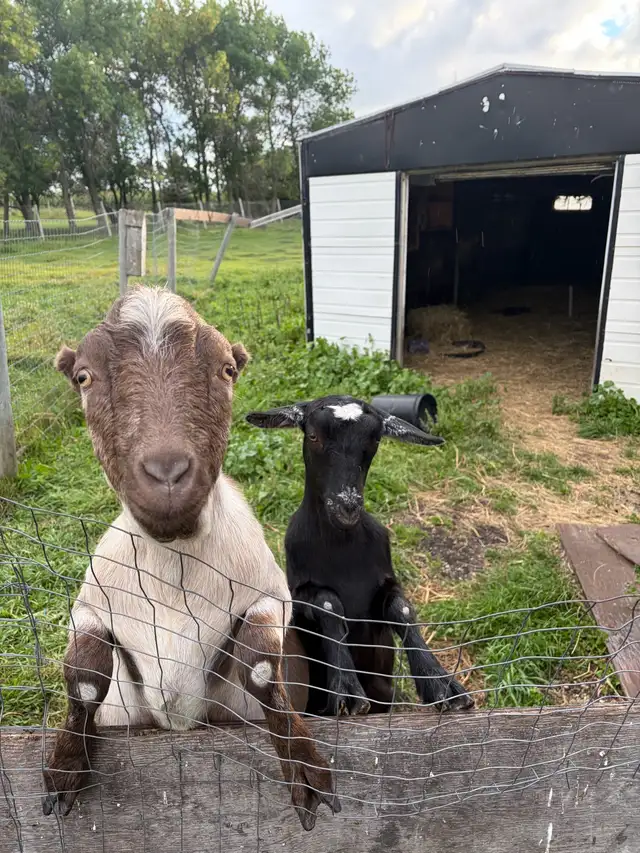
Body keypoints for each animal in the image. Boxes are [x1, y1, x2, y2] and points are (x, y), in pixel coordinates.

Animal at [42, 287, 339, 830]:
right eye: (83, 377)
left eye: (227, 369)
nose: (167, 474)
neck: (173, 573)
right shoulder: (92, 607)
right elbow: (86, 682)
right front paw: (66, 767)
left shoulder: (268, 595)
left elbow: (259, 669)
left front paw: (305, 767)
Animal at [246, 395, 474, 717]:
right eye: (313, 436)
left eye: (375, 439)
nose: (347, 507)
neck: (343, 550)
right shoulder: (298, 594)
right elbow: (328, 604)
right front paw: (347, 690)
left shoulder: (384, 582)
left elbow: (402, 610)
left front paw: (440, 683)